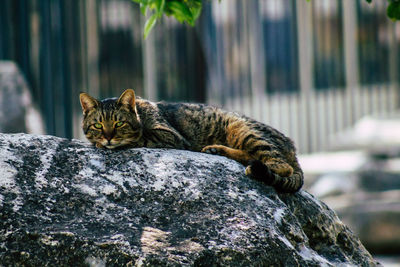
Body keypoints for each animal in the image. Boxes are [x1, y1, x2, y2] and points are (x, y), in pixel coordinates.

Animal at [79, 89, 304, 193]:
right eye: (98, 125)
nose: (108, 137)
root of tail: (293, 147)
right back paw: (216, 150)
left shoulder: (169, 135)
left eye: (119, 124)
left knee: (280, 165)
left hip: (243, 129)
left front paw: (106, 143)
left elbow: (140, 138)